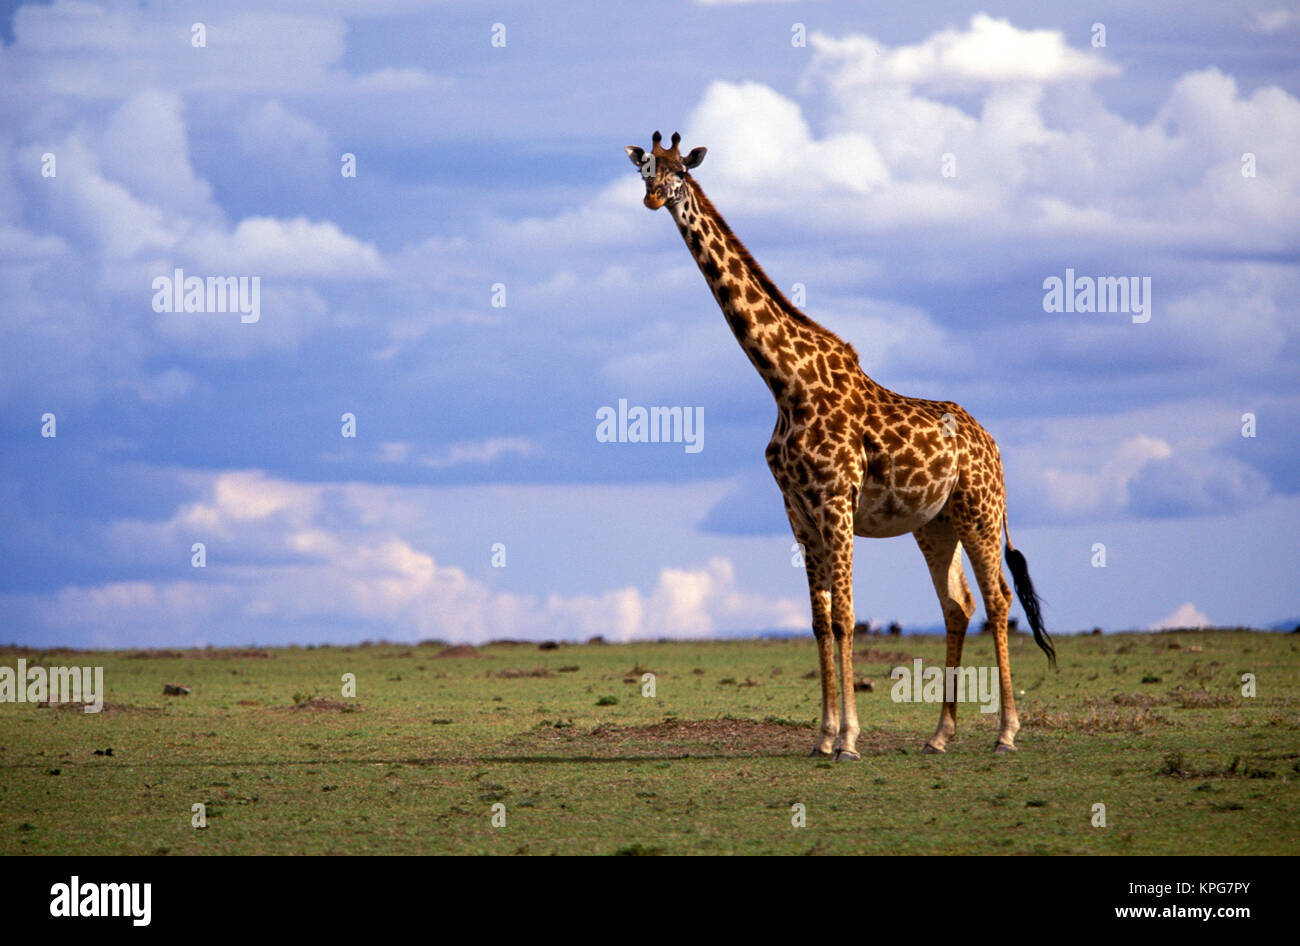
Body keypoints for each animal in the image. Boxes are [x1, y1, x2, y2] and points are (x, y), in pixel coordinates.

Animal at [625, 131, 1055, 758]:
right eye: (645, 170)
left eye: (682, 171)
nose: (655, 198)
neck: (785, 382)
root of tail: (994, 444)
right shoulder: (798, 512)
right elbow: (819, 621)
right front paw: (823, 737)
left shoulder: (835, 502)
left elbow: (847, 617)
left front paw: (849, 739)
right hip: (937, 523)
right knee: (958, 605)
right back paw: (939, 735)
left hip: (979, 510)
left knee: (998, 600)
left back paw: (1006, 733)